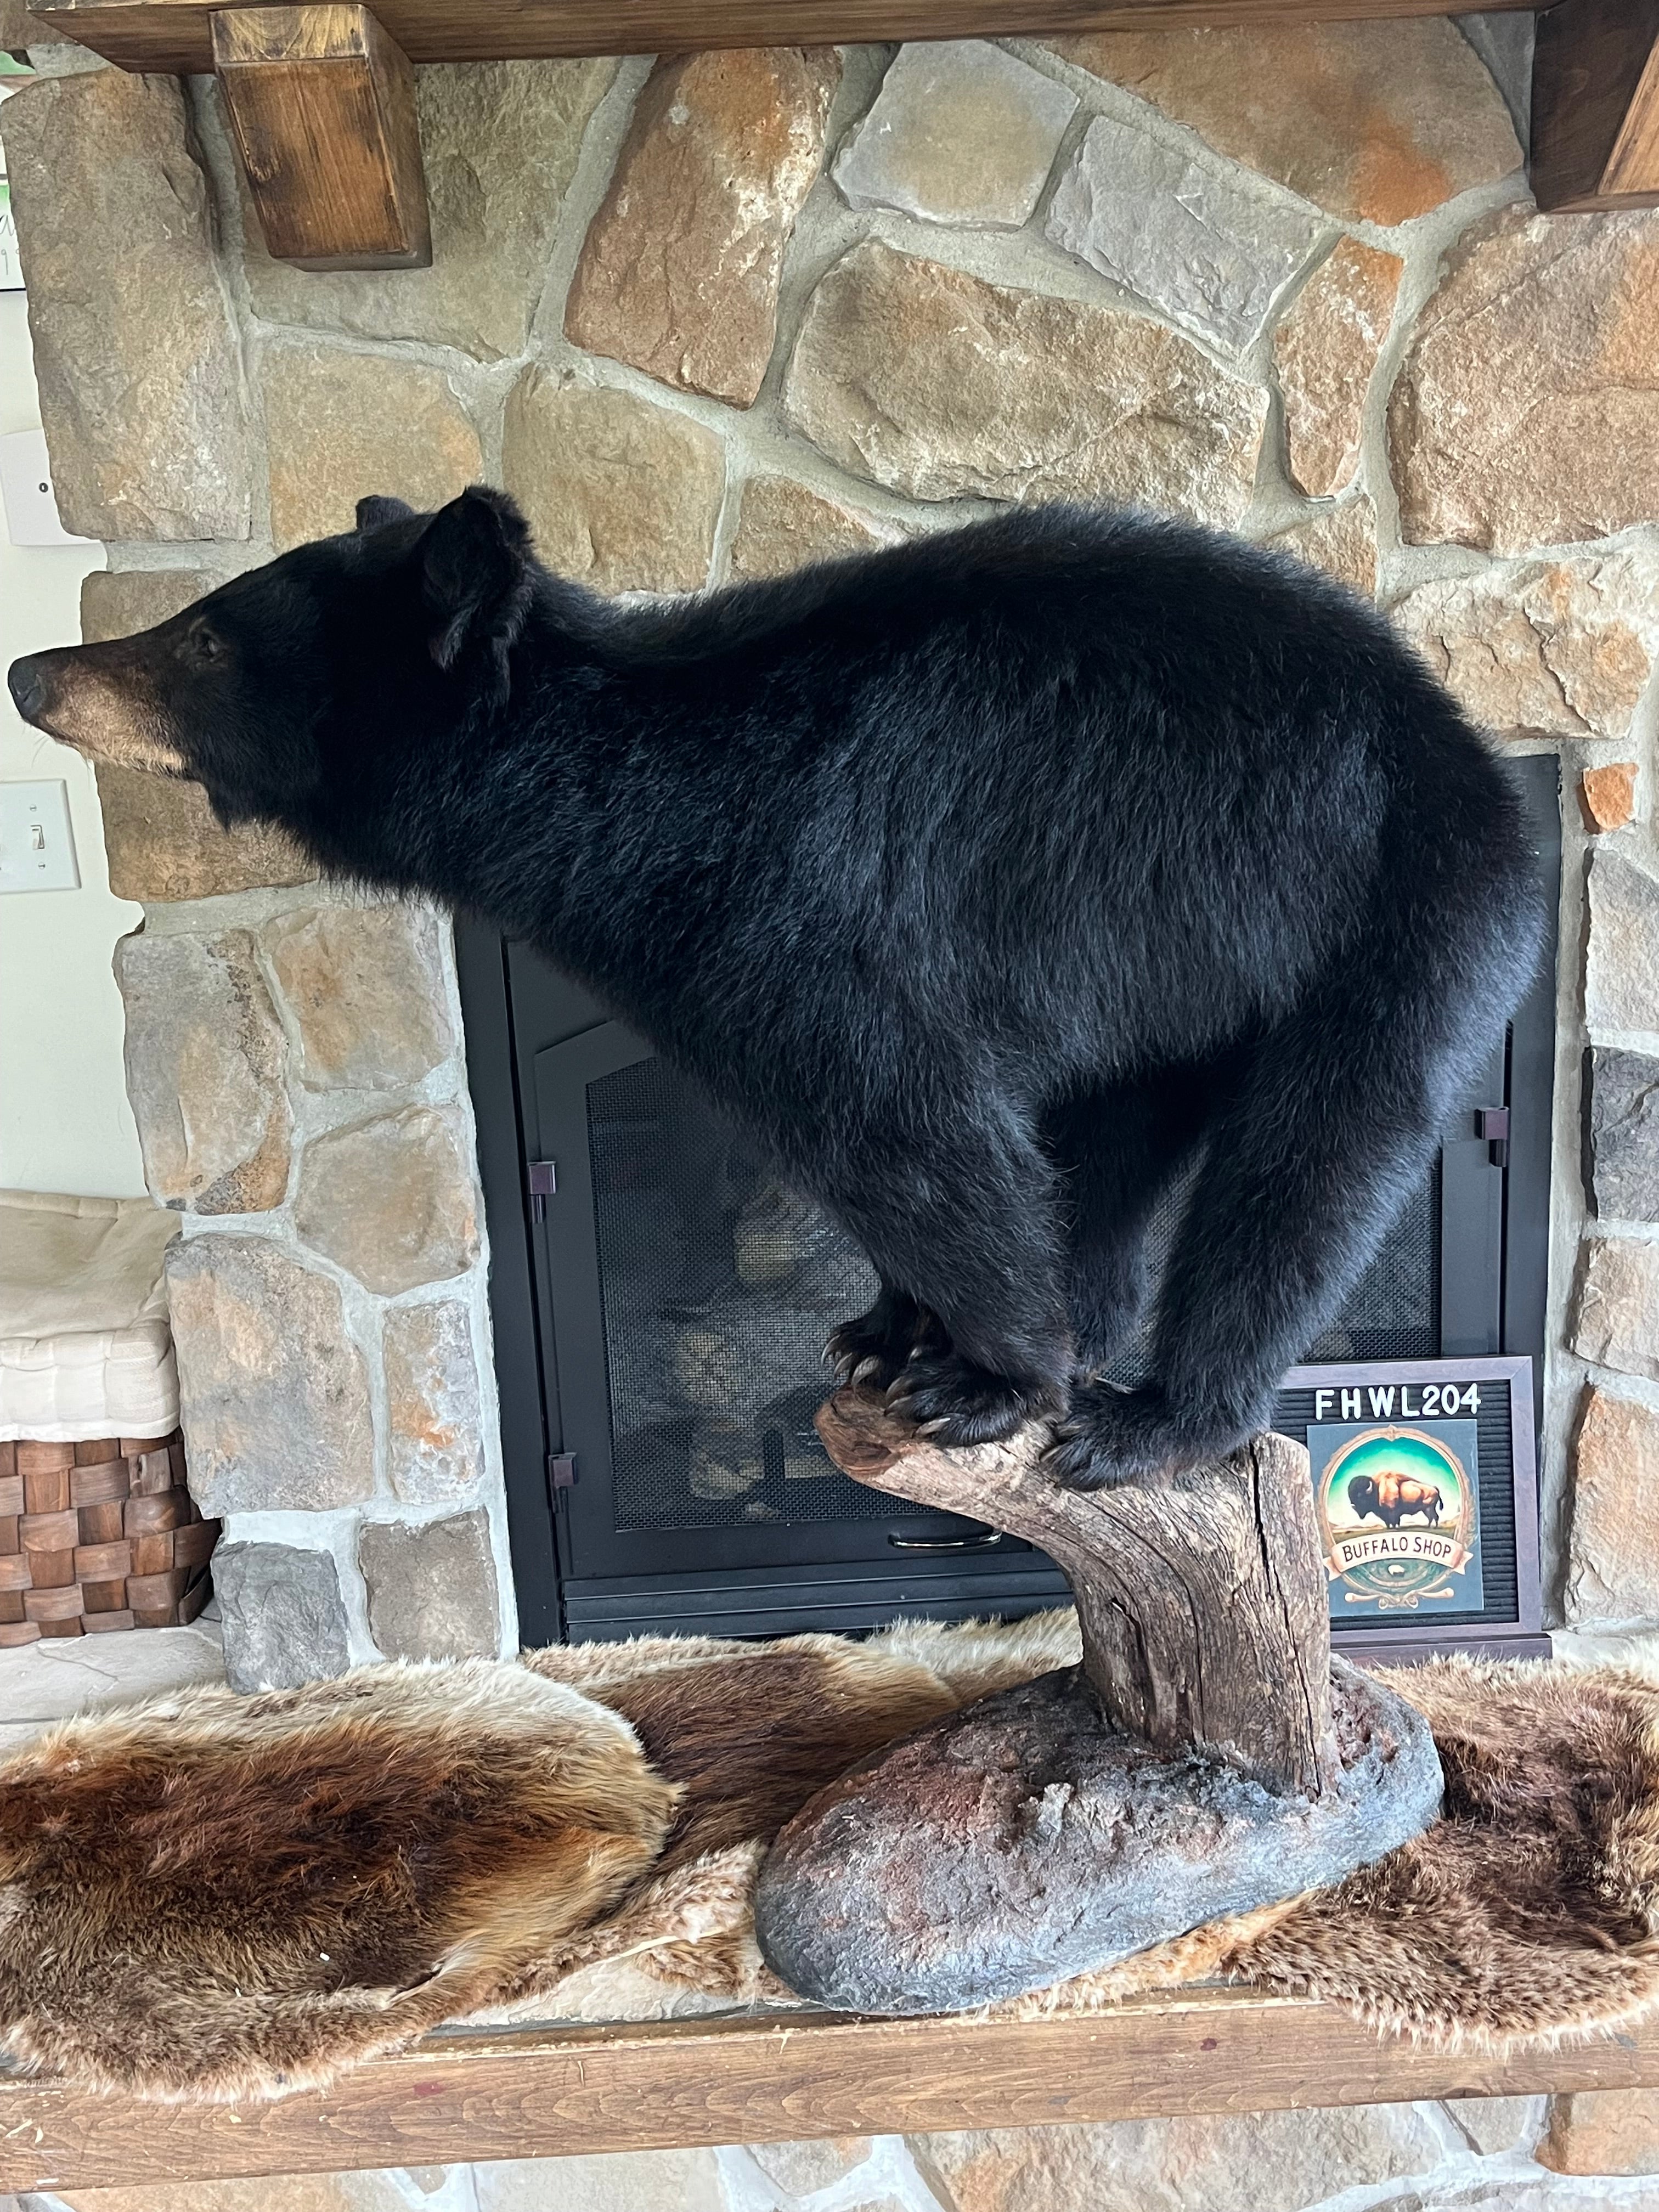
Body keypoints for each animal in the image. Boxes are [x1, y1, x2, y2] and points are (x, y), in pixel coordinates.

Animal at [8, 488, 1543, 1486]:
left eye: (203, 636)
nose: (35, 669)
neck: (607, 811)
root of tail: (1478, 762)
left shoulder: (792, 914)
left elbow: (903, 1124)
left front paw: (983, 1379)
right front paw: (884, 1334)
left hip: (1381, 919)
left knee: (1311, 1166)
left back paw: (1153, 1418)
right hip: (1184, 984)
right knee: (1114, 1144)